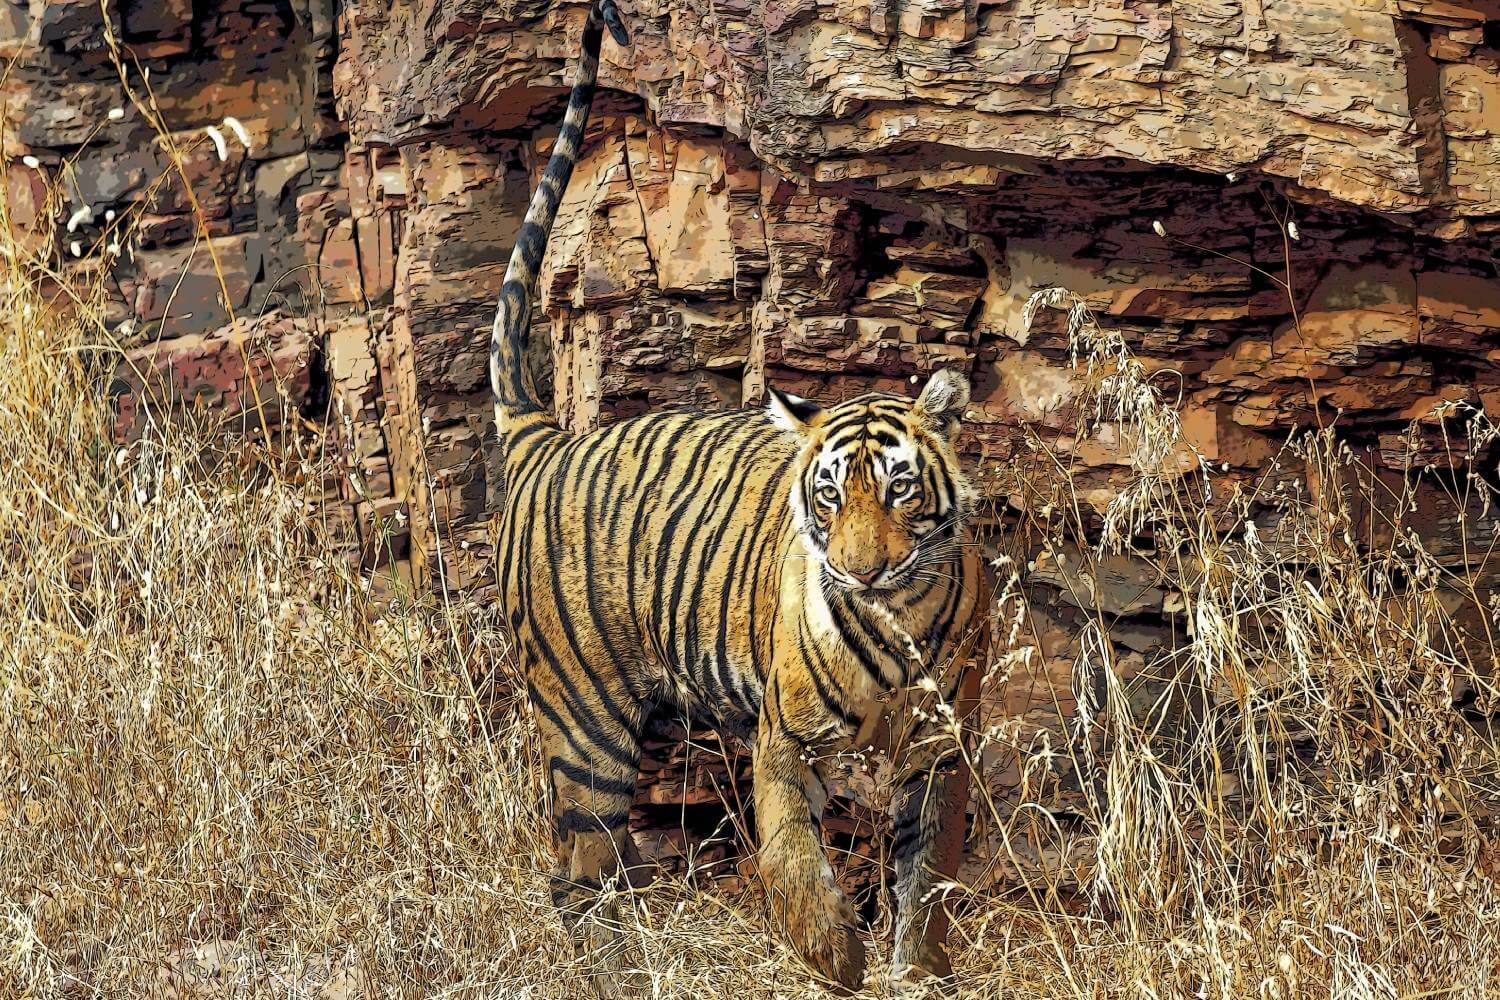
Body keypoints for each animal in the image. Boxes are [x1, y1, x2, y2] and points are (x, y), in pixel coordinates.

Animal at [486, 0, 990, 995]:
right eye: (828, 496)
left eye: (900, 489)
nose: (861, 574)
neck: (899, 623)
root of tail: (545, 441)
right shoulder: (783, 738)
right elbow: (795, 856)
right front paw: (833, 955)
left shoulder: (939, 750)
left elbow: (926, 877)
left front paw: (916, 966)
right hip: (585, 725)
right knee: (576, 871)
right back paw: (614, 970)